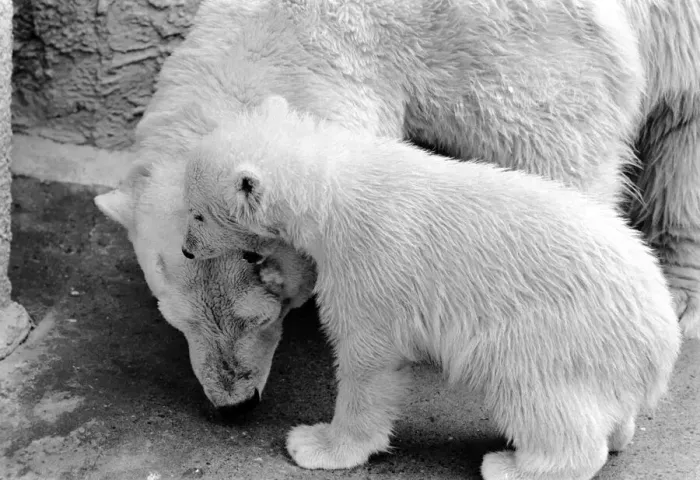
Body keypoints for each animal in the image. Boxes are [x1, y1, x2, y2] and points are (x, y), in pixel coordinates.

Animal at [180, 95, 682, 479]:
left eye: (197, 214)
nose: (186, 249)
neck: (334, 185)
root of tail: (662, 346)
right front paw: (274, 271)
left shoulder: (371, 262)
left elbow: (368, 358)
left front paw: (318, 444)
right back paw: (616, 433)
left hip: (558, 333)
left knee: (532, 390)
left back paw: (511, 465)